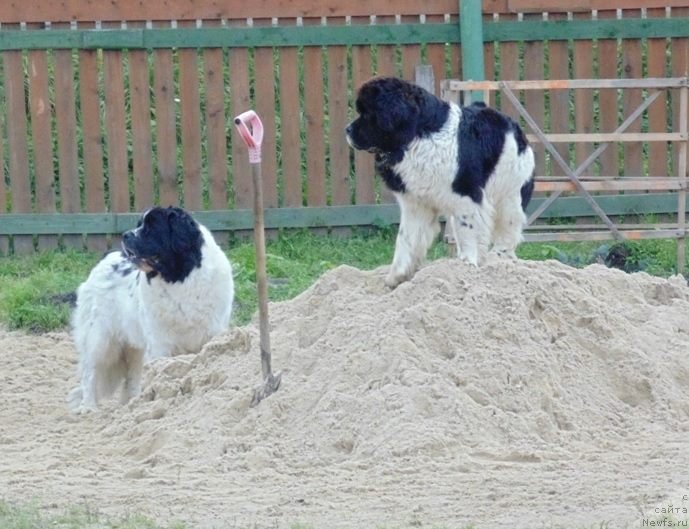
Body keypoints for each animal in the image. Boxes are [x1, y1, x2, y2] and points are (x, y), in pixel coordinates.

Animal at [67, 206, 234, 412]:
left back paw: (132, 404)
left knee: (131, 376)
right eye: (139, 225)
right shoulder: (160, 343)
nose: (125, 235)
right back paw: (88, 408)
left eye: (151, 228)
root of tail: (106, 257)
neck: (180, 280)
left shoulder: (213, 333)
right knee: (90, 372)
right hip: (99, 338)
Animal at [346, 76, 536, 286]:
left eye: (367, 113)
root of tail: (516, 128)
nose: (347, 130)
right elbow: (406, 238)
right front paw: (397, 277)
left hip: (510, 194)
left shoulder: (466, 196)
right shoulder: (416, 204)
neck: (416, 137)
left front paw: (467, 265)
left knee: (509, 228)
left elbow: (468, 231)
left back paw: (501, 257)